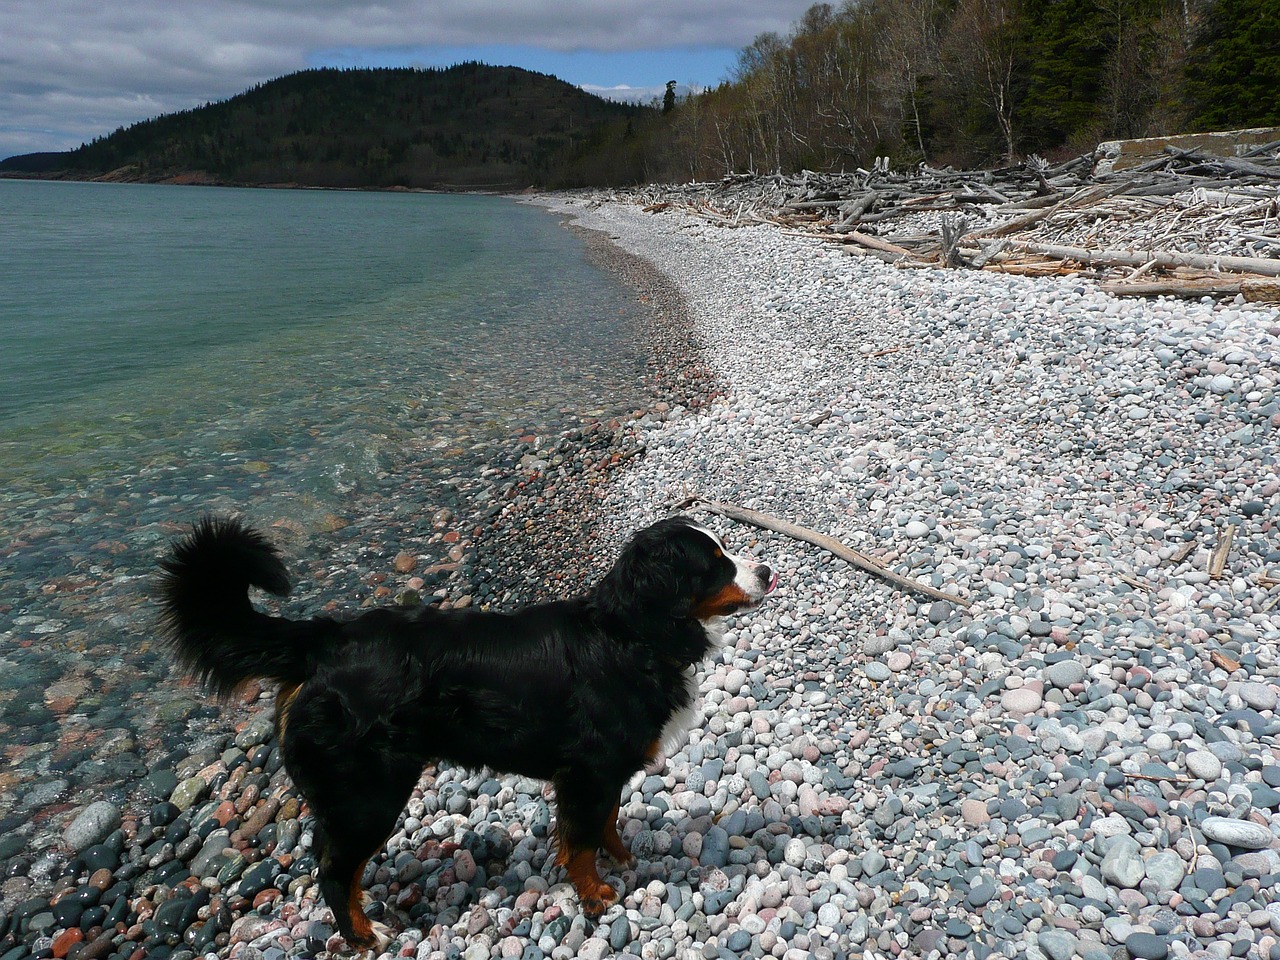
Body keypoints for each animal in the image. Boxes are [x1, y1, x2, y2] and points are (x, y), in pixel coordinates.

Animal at [154, 514, 773, 952]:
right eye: (715, 564)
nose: (767, 571)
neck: (631, 633)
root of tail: (328, 639)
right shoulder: (587, 769)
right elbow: (578, 841)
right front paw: (595, 896)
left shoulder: (604, 772)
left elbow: (605, 822)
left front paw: (621, 857)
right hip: (368, 794)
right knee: (332, 869)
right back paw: (363, 936)